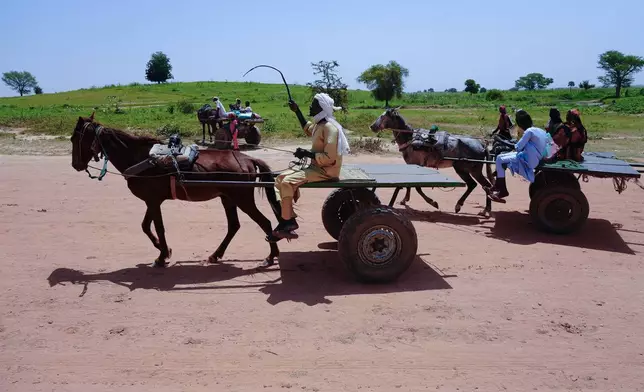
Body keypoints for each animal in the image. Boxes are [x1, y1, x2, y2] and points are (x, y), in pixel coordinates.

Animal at [70, 112, 282, 268]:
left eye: (74, 138)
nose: (75, 165)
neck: (142, 159)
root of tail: (248, 159)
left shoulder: (153, 201)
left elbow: (158, 227)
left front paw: (162, 256)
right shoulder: (152, 200)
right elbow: (145, 226)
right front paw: (162, 249)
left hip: (242, 198)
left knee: (264, 222)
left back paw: (271, 256)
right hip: (227, 198)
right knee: (234, 226)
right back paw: (216, 255)